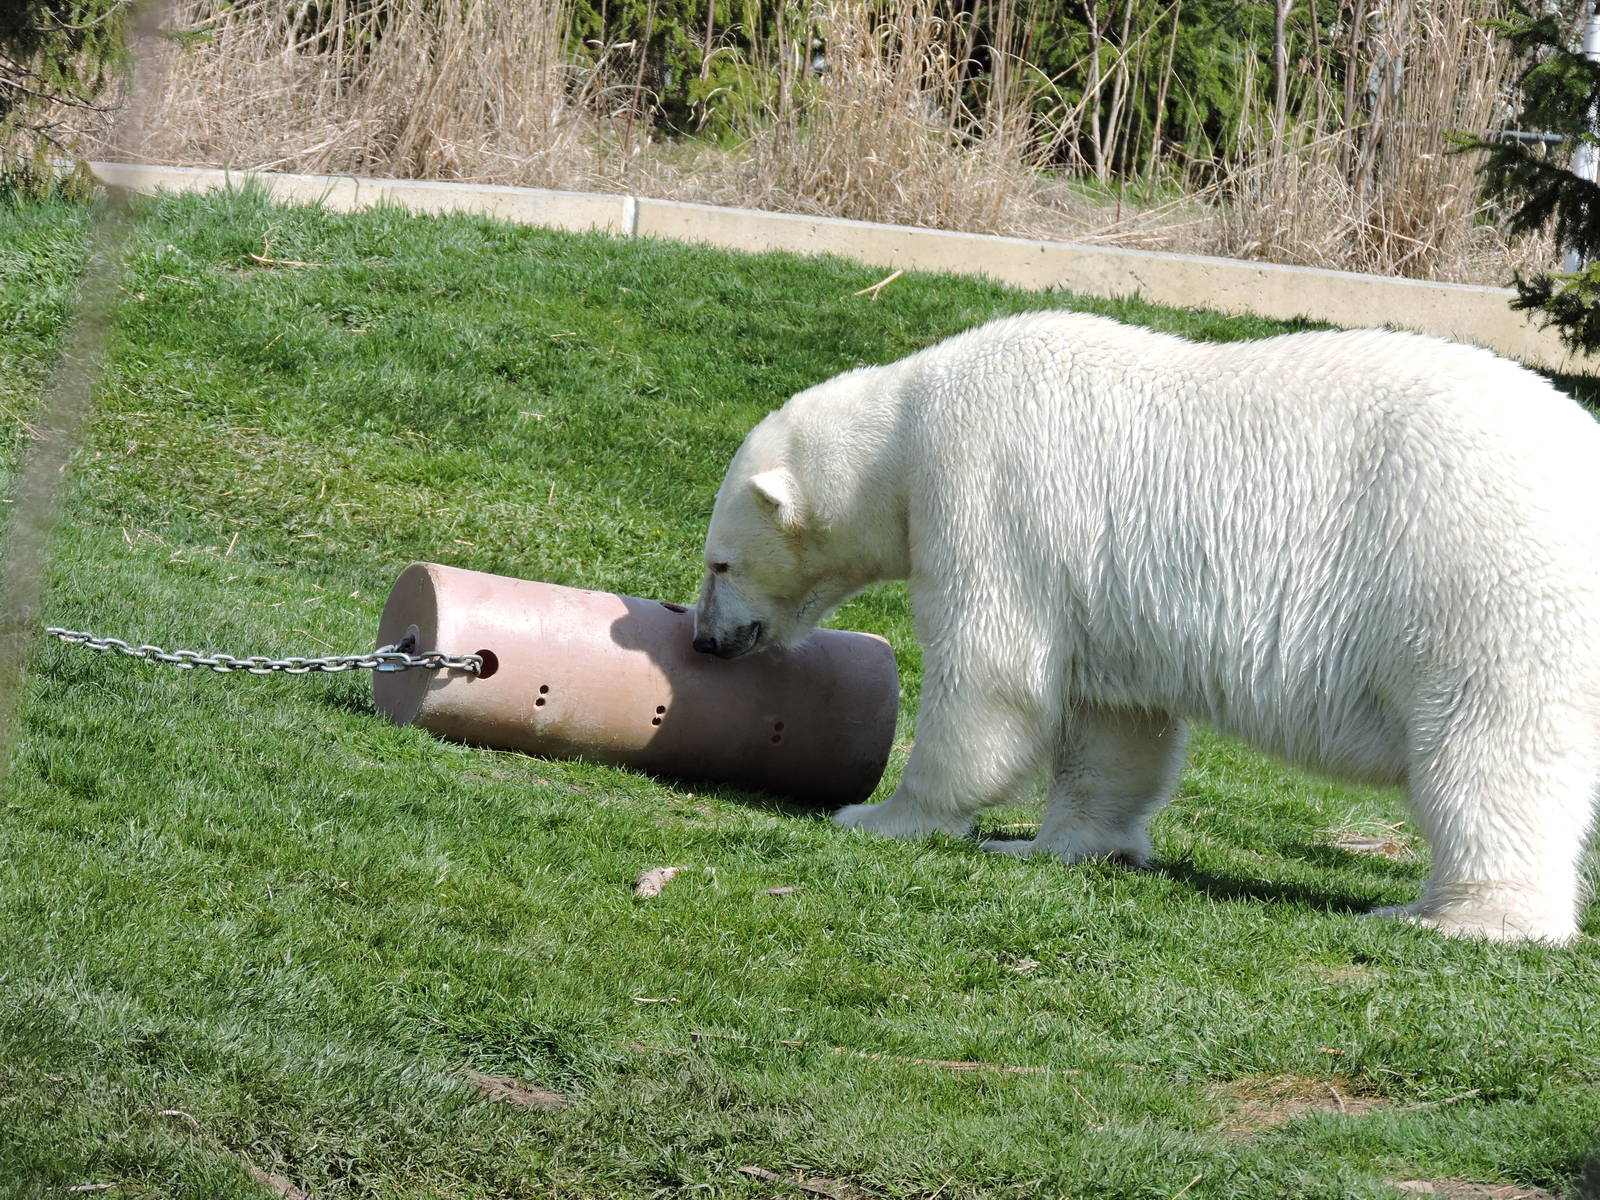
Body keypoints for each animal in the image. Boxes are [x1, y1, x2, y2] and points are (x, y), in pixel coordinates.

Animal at [692, 310, 1600, 944]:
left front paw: (885, 816)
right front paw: (1058, 846)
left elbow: (994, 673)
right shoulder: (1100, 592)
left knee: (1488, 750)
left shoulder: (988, 489)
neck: (908, 425)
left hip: (1480, 581)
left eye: (719, 565)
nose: (705, 639)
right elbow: (1112, 723)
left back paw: (1454, 918)